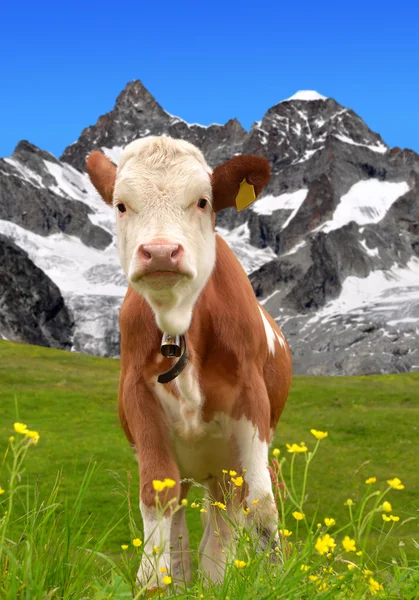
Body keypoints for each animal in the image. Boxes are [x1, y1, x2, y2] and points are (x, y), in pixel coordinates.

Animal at [87, 135, 294, 584]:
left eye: (202, 201)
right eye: (121, 205)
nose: (161, 252)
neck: (179, 323)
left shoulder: (251, 400)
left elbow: (261, 505)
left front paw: (273, 579)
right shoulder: (139, 399)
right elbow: (156, 498)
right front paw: (152, 584)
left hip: (224, 464)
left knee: (226, 518)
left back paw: (218, 579)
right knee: (185, 529)